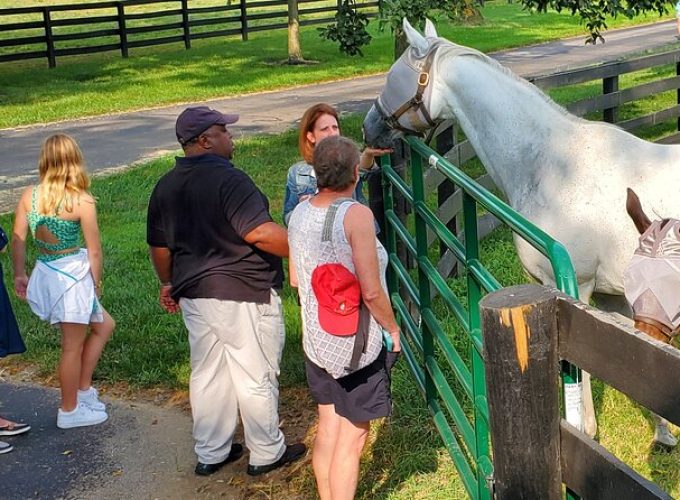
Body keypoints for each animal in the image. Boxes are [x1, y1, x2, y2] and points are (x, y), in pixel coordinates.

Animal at [364, 20, 680, 450]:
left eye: (392, 77)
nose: (369, 127)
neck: (554, 164)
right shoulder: (616, 297)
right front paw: (664, 434)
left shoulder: (574, 289)